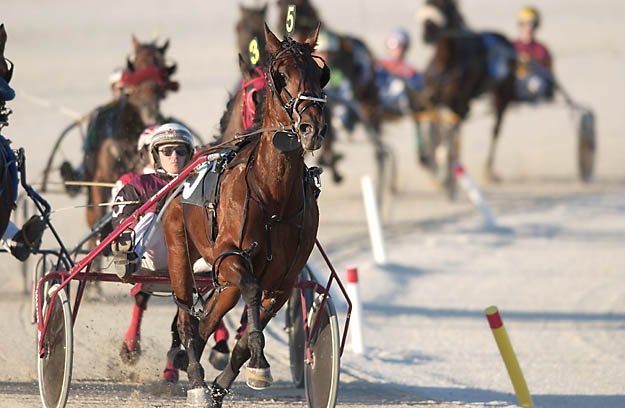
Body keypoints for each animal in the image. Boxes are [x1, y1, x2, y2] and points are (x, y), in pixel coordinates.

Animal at [161, 24, 330, 404]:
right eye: (280, 76)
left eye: (321, 75)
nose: (312, 128)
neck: (274, 194)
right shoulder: (230, 257)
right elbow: (250, 289)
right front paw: (256, 362)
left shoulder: (283, 281)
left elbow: (250, 326)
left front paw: (235, 376)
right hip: (179, 251)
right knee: (187, 318)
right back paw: (195, 382)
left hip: (224, 285)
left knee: (207, 321)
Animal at [416, 0, 516, 182]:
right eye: (426, 3)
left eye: (445, 7)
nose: (426, 34)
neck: (446, 64)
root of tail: (505, 39)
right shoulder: (431, 98)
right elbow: (422, 116)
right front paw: (426, 159)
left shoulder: (460, 106)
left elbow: (448, 137)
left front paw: (441, 160)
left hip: (503, 96)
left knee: (495, 130)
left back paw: (488, 170)